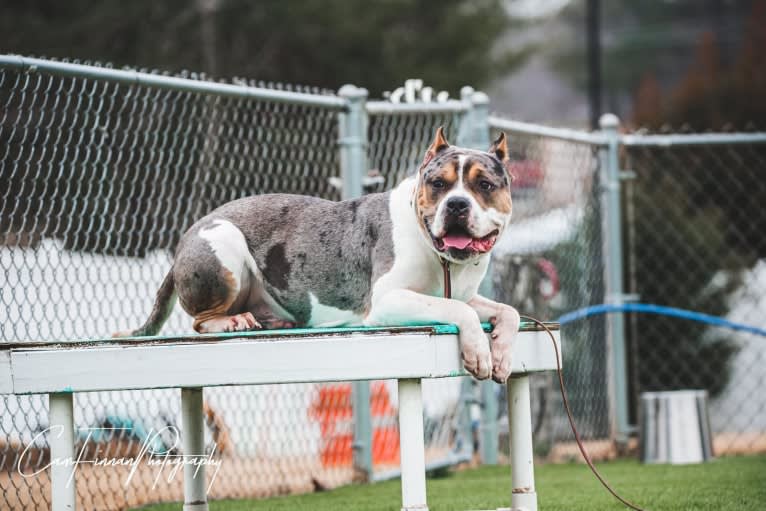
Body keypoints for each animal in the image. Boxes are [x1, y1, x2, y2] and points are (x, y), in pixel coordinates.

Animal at [115, 128, 520, 384]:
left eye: (484, 185)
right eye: (438, 184)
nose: (456, 204)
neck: (443, 259)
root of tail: (182, 245)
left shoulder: (466, 294)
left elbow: (507, 311)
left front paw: (501, 353)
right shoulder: (388, 300)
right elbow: (459, 311)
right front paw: (479, 352)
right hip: (224, 241)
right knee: (200, 322)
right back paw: (232, 321)